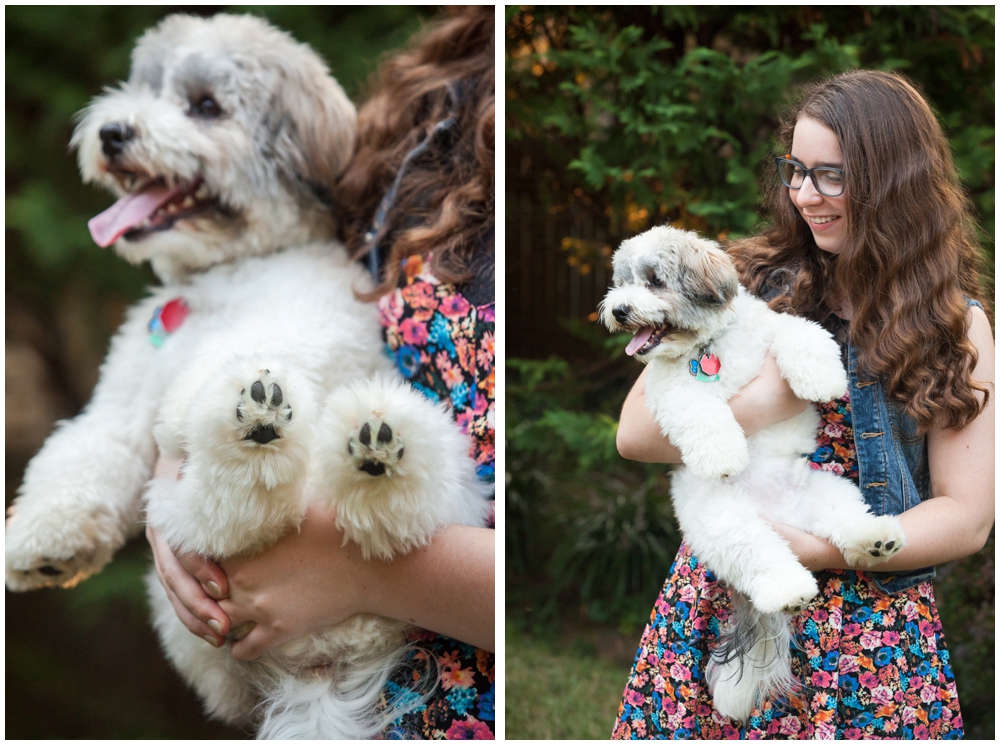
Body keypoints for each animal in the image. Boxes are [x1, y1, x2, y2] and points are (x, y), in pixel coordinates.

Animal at [6, 14, 492, 740]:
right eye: (143, 88)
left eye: (206, 106)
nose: (113, 132)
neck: (218, 281)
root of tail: (319, 671)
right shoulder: (120, 401)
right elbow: (83, 452)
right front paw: (41, 540)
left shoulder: (308, 323)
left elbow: (229, 359)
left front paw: (201, 397)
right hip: (188, 571)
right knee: (232, 518)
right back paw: (278, 440)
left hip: (447, 496)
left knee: (372, 523)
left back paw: (350, 441)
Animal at [600, 225, 908, 720]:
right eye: (621, 284)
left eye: (654, 282)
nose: (619, 309)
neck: (708, 348)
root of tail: (778, 516)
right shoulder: (667, 389)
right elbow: (697, 409)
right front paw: (723, 454)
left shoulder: (778, 327)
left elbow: (803, 333)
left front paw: (821, 379)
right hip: (729, 524)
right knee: (764, 559)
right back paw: (788, 587)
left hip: (826, 491)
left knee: (846, 525)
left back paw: (876, 540)